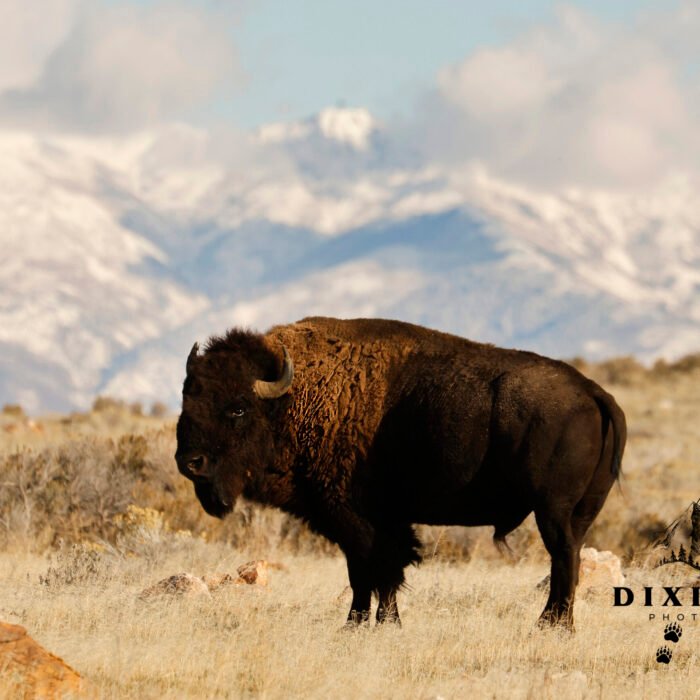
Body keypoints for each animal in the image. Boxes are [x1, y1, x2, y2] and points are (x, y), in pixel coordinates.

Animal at [175, 316, 625, 628]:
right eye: (187, 398)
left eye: (237, 408)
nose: (190, 462)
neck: (292, 399)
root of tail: (592, 392)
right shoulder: (383, 521)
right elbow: (381, 573)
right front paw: (378, 623)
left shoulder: (353, 518)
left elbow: (369, 572)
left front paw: (361, 625)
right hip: (577, 513)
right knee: (570, 558)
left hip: (552, 511)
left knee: (562, 559)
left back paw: (551, 626)